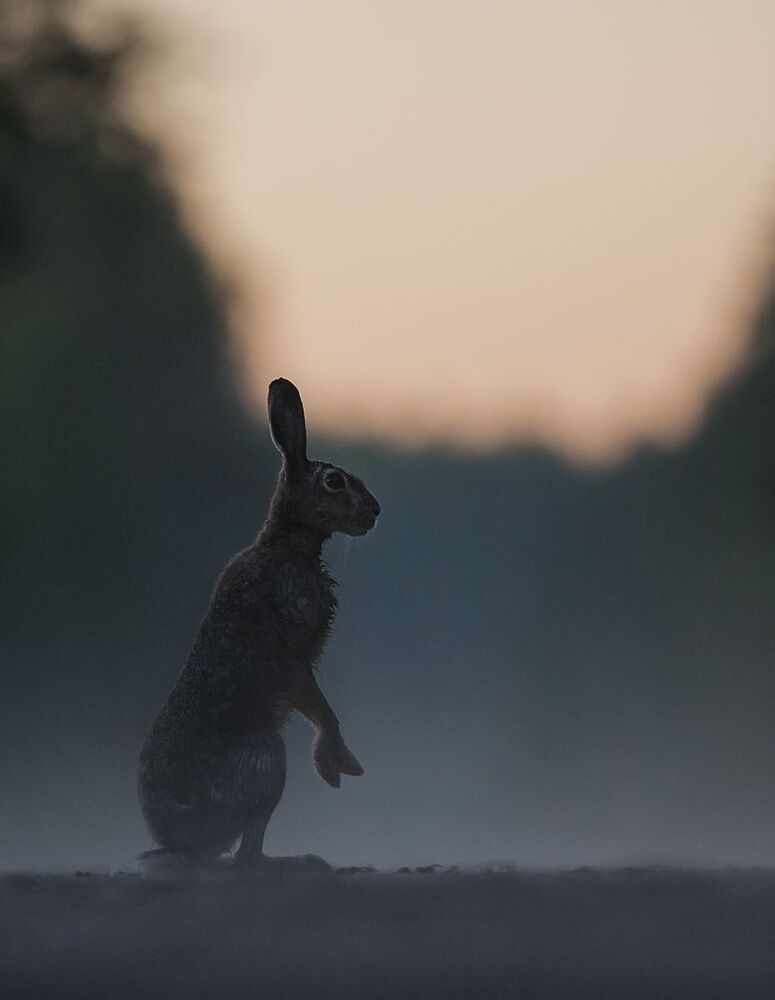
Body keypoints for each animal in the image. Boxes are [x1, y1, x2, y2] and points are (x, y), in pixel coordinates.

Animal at [137, 377, 380, 866]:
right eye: (334, 481)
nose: (376, 511)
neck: (287, 542)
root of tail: (181, 837)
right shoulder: (295, 657)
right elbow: (320, 709)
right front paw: (335, 764)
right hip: (268, 759)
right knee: (247, 854)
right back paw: (297, 862)